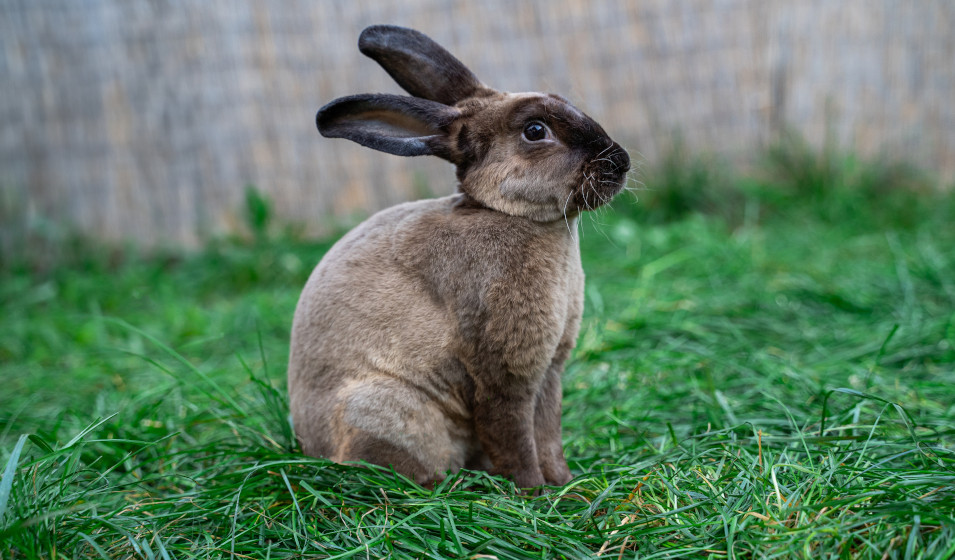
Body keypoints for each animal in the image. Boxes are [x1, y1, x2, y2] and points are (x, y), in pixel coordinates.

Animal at [288, 24, 630, 489]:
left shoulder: (549, 375)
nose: (621, 161)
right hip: (383, 410)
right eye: (535, 131)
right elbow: (514, 437)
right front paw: (535, 491)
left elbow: (548, 436)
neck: (506, 213)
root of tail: (315, 446)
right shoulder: (503, 374)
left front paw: (565, 486)